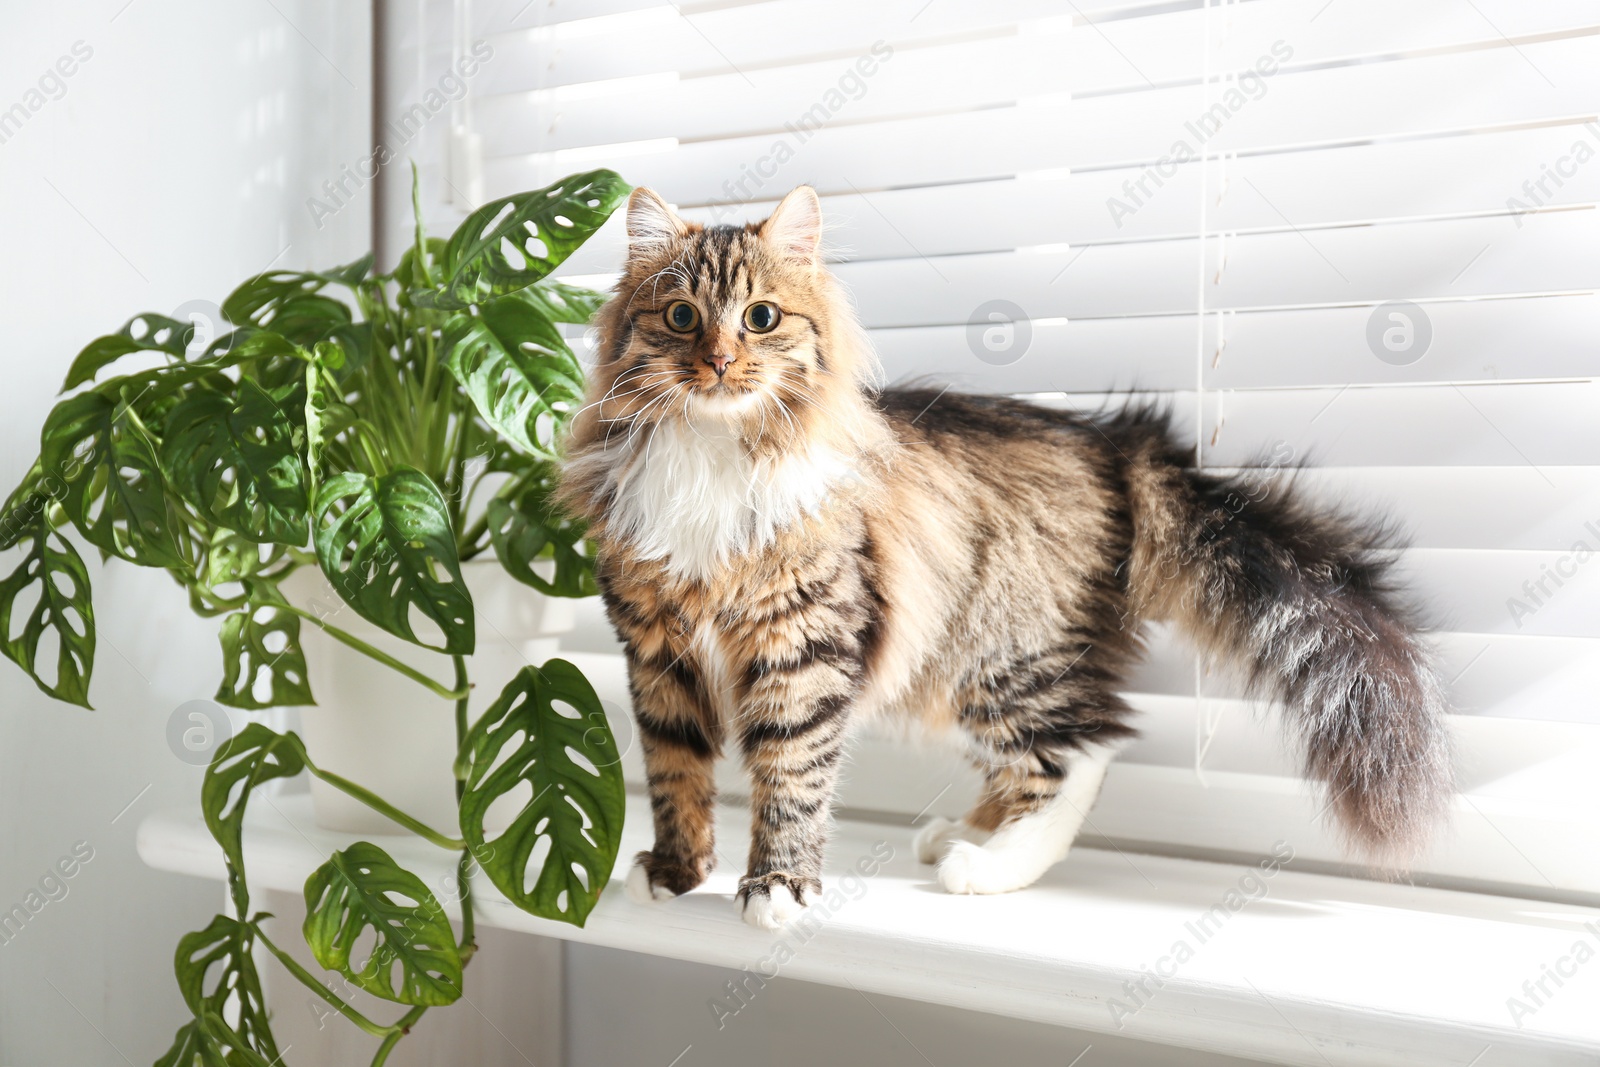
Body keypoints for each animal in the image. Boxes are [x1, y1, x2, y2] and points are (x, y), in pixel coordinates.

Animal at [556, 187, 1459, 927]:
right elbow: (675, 768)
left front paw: (777, 888)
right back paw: (963, 833)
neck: (710, 453)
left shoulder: (802, 642)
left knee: (1083, 750)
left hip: (1007, 653)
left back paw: (987, 866)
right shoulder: (657, 650)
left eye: (761, 318)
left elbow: (792, 773)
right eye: (681, 317)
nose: (716, 361)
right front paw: (677, 871)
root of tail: (1114, 440)